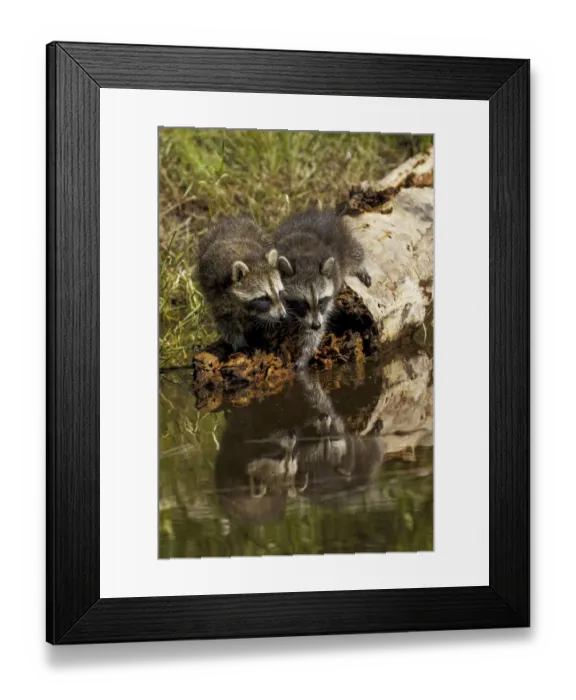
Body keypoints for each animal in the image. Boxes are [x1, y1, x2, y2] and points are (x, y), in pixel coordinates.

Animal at [197, 216, 293, 351]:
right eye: (263, 298)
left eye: (279, 293)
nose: (283, 316)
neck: (251, 261)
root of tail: (230, 219)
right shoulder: (217, 291)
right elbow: (226, 320)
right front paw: (239, 342)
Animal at [274, 209, 371, 369]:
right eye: (302, 304)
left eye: (321, 302)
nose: (315, 325)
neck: (305, 260)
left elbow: (317, 330)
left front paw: (306, 352)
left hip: (344, 240)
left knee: (356, 253)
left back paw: (360, 266)